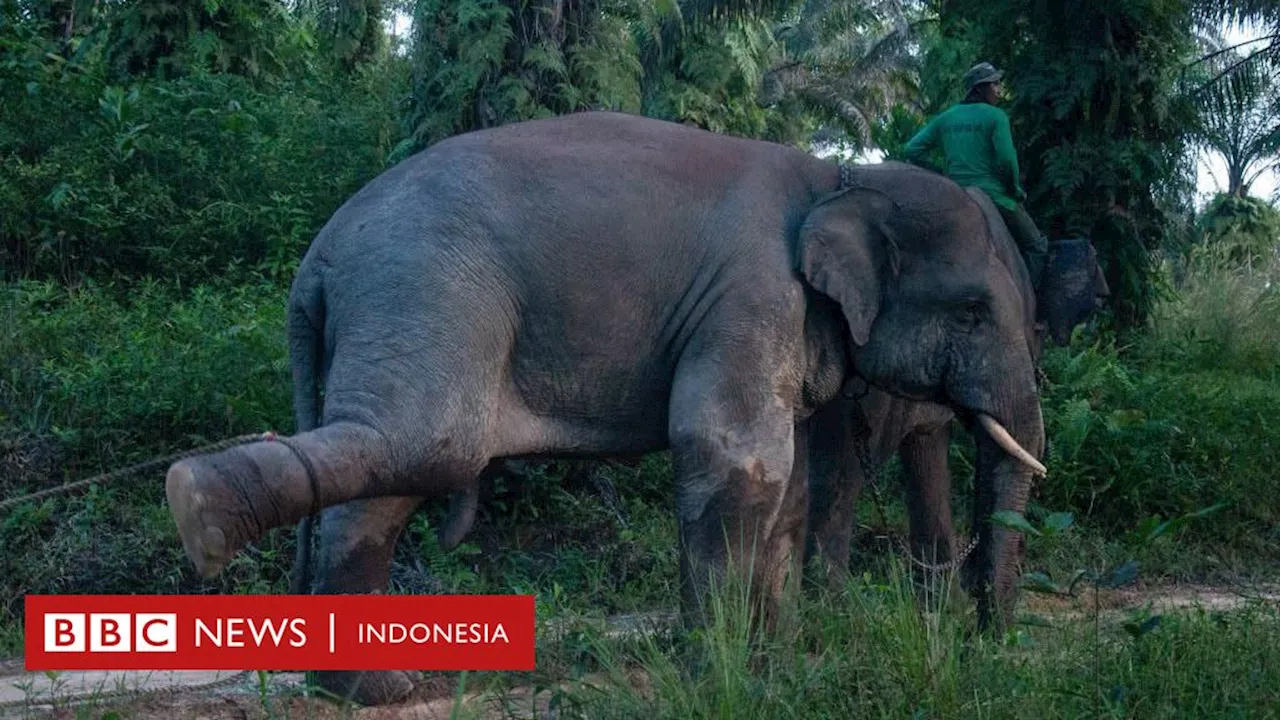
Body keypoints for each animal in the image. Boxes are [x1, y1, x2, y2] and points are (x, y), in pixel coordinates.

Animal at [167, 110, 1049, 702]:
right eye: (974, 312)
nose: (986, 640)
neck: (843, 178)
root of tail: (317, 256)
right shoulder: (753, 294)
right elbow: (734, 456)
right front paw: (717, 673)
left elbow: (787, 487)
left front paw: (777, 663)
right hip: (422, 292)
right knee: (426, 443)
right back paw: (202, 512)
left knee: (383, 476)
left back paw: (355, 687)